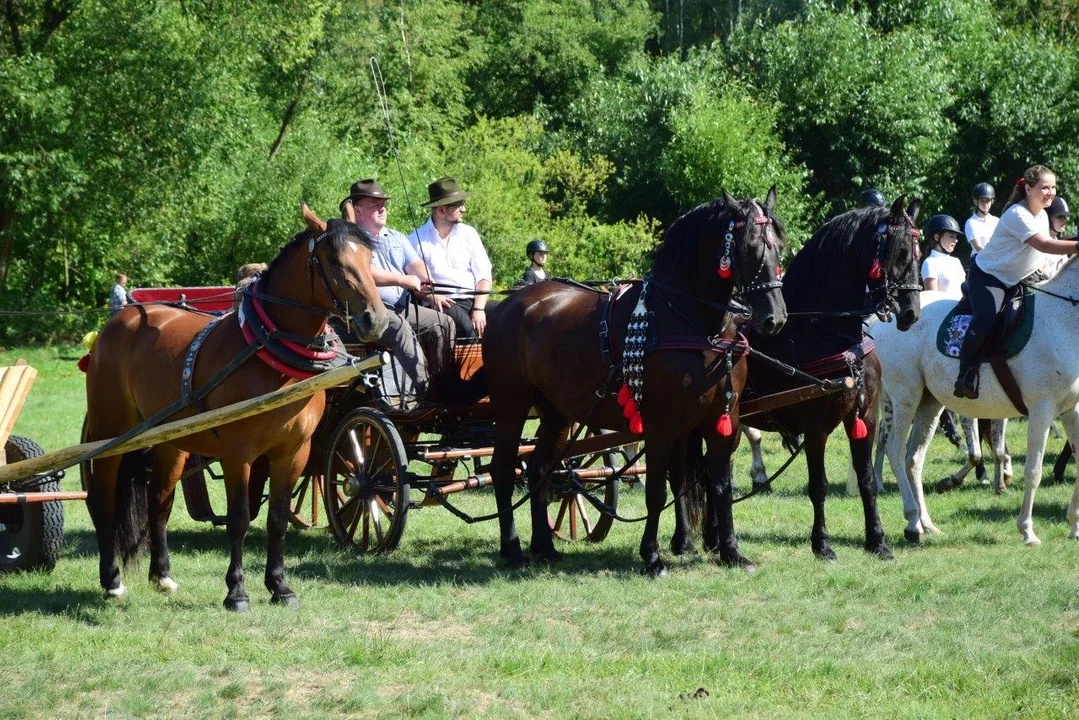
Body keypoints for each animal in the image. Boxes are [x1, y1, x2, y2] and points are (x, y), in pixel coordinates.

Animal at [85, 205, 388, 613]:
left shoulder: (293, 452)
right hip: (110, 433)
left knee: (158, 503)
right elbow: (240, 519)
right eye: (334, 261)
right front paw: (237, 591)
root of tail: (120, 319)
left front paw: (280, 587)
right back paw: (112, 581)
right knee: (103, 503)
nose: (377, 320)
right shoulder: (238, 453)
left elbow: (277, 518)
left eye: (370, 258)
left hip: (170, 444)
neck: (269, 352)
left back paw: (162, 575)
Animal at [485, 189, 789, 574]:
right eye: (748, 247)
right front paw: (652, 556)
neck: (695, 324)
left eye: (779, 245)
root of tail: (508, 305)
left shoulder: (724, 419)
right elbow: (657, 489)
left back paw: (544, 546)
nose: (774, 319)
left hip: (555, 411)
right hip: (511, 404)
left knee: (539, 469)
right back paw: (512, 548)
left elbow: (720, 485)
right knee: (503, 469)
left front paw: (731, 552)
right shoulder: (661, 423)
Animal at [681, 195, 919, 561]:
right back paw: (685, 540)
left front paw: (877, 541)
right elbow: (818, 486)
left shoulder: (864, 417)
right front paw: (822, 544)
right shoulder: (816, 426)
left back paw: (713, 537)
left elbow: (866, 480)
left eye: (918, 252)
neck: (828, 334)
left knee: (710, 471)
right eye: (901, 252)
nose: (911, 313)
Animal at [880, 255, 1079, 544]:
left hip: (929, 404)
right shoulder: (1042, 409)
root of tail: (885, 320)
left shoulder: (1071, 409)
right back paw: (913, 523)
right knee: (893, 450)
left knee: (913, 458)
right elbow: (1033, 471)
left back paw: (925, 523)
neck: (1062, 322)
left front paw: (1074, 525)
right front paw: (1027, 530)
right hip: (904, 397)